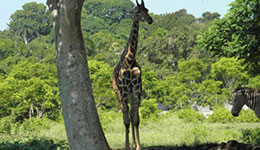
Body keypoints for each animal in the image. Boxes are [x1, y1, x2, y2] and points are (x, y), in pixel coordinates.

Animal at [111, 0, 152, 150]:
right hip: (118, 93)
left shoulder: (136, 90)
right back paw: (128, 144)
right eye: (138, 12)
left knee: (130, 113)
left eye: (147, 10)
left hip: (130, 94)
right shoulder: (123, 91)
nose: (150, 20)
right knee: (125, 115)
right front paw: (128, 146)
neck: (129, 60)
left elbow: (136, 118)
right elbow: (127, 120)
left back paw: (134, 144)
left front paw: (138, 146)